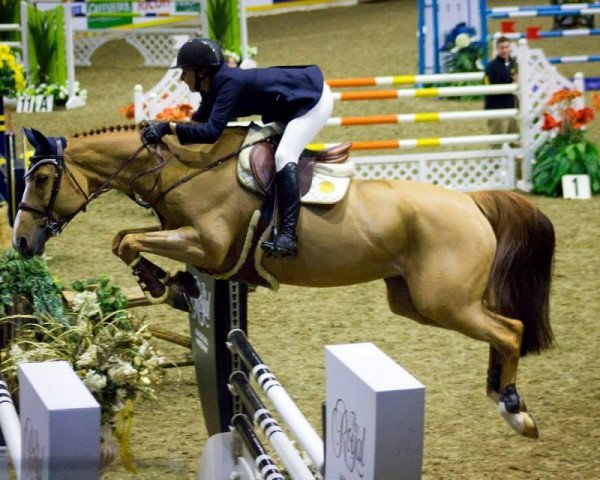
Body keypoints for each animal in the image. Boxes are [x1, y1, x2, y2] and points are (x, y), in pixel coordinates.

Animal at [14, 124, 556, 438]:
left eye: (41, 179)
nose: (20, 243)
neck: (185, 171)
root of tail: (472, 201)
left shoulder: (207, 245)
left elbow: (126, 241)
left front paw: (163, 284)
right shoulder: (190, 240)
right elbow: (124, 237)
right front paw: (170, 284)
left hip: (446, 302)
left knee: (509, 330)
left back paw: (514, 409)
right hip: (416, 302)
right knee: (500, 331)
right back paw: (501, 395)